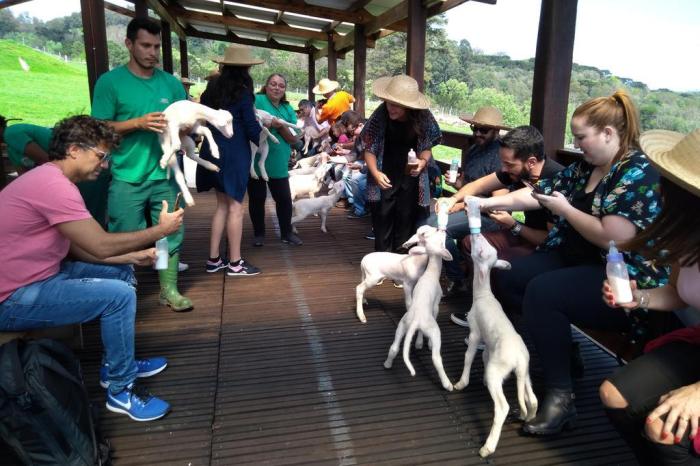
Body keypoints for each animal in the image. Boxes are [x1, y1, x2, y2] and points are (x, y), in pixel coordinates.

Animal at [382, 226, 454, 394]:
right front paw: (422, 343)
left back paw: (387, 364)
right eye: (441, 240)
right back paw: (447, 384)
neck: (431, 273)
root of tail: (415, 321)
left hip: (402, 326)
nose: (443, 230)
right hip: (434, 330)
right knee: (436, 358)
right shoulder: (436, 305)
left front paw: (419, 343)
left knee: (394, 347)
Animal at [452, 231, 540, 456]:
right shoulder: (487, 343)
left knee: (502, 407)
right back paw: (527, 418)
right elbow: (483, 356)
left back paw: (488, 447)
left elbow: (469, 356)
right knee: (532, 398)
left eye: (480, 250)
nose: (476, 234)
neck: (484, 295)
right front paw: (480, 379)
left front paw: (462, 382)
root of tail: (518, 359)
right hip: (524, 372)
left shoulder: (475, 332)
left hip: (498, 371)